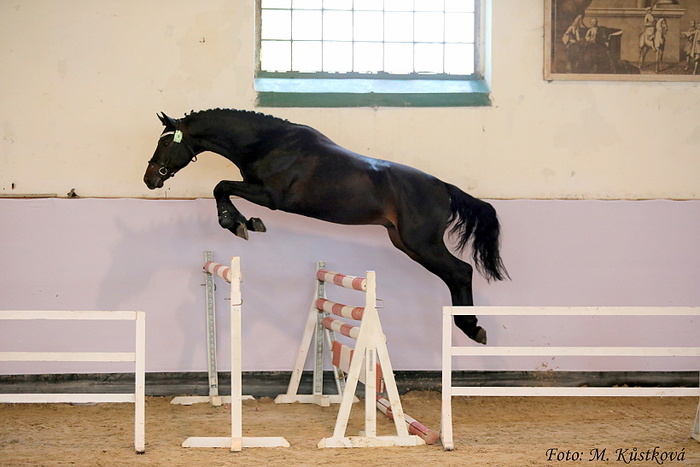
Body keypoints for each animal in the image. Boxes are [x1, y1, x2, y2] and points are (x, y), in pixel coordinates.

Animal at [143, 109, 509, 344]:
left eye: (166, 143)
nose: (149, 179)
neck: (269, 143)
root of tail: (443, 187)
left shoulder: (271, 196)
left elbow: (221, 186)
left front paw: (239, 223)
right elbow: (223, 188)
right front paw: (245, 223)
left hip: (422, 242)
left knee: (461, 271)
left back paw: (472, 327)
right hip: (406, 244)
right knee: (454, 275)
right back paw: (468, 326)